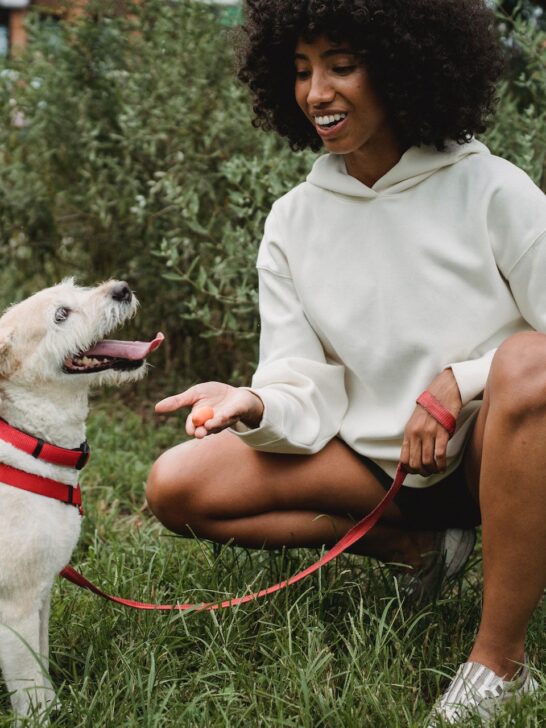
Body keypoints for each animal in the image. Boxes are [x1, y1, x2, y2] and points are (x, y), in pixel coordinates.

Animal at [0, 278, 162, 724]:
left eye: (76, 288)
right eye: (60, 314)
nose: (122, 288)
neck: (26, 442)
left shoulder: (41, 594)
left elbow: (41, 664)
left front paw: (57, 707)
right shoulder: (15, 607)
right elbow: (28, 685)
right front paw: (38, 720)